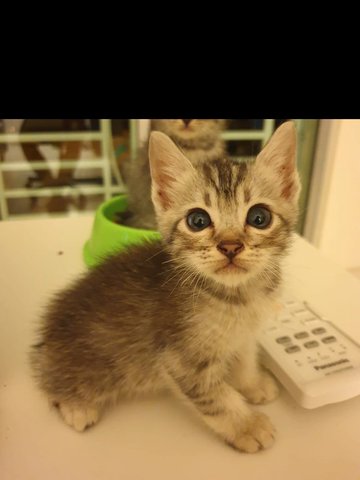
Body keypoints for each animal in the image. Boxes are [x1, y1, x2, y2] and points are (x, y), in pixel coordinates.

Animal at [31, 122, 300, 452]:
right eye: (197, 220)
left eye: (259, 217)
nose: (230, 246)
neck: (238, 297)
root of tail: (45, 341)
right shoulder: (178, 358)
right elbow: (216, 397)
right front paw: (246, 425)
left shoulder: (246, 336)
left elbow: (245, 360)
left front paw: (252, 384)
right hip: (95, 370)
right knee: (51, 383)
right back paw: (76, 407)